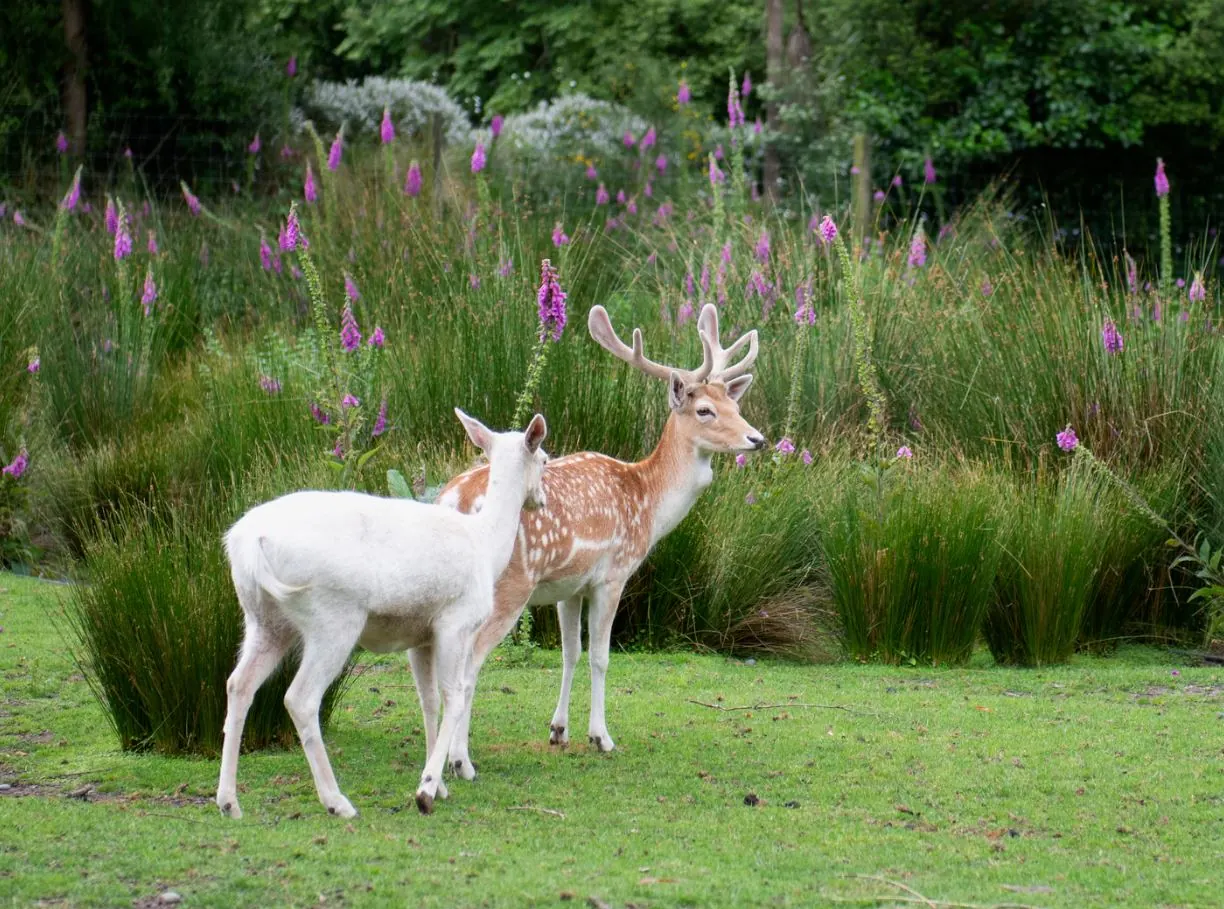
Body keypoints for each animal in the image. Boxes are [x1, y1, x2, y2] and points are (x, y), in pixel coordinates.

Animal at [215, 408, 549, 819]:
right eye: (545, 459)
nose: (542, 501)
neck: (487, 546)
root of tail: (248, 544)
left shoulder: (420, 636)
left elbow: (429, 701)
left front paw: (438, 786)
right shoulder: (455, 621)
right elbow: (455, 696)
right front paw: (425, 790)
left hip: (263, 620)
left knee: (238, 684)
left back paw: (228, 801)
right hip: (333, 617)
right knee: (300, 698)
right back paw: (337, 802)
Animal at [437, 303, 763, 781]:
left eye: (734, 403)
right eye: (705, 410)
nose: (757, 438)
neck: (648, 502)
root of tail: (452, 500)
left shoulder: (568, 587)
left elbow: (570, 653)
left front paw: (558, 730)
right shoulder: (612, 575)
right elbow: (600, 656)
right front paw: (601, 737)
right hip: (509, 585)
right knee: (468, 663)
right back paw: (461, 761)